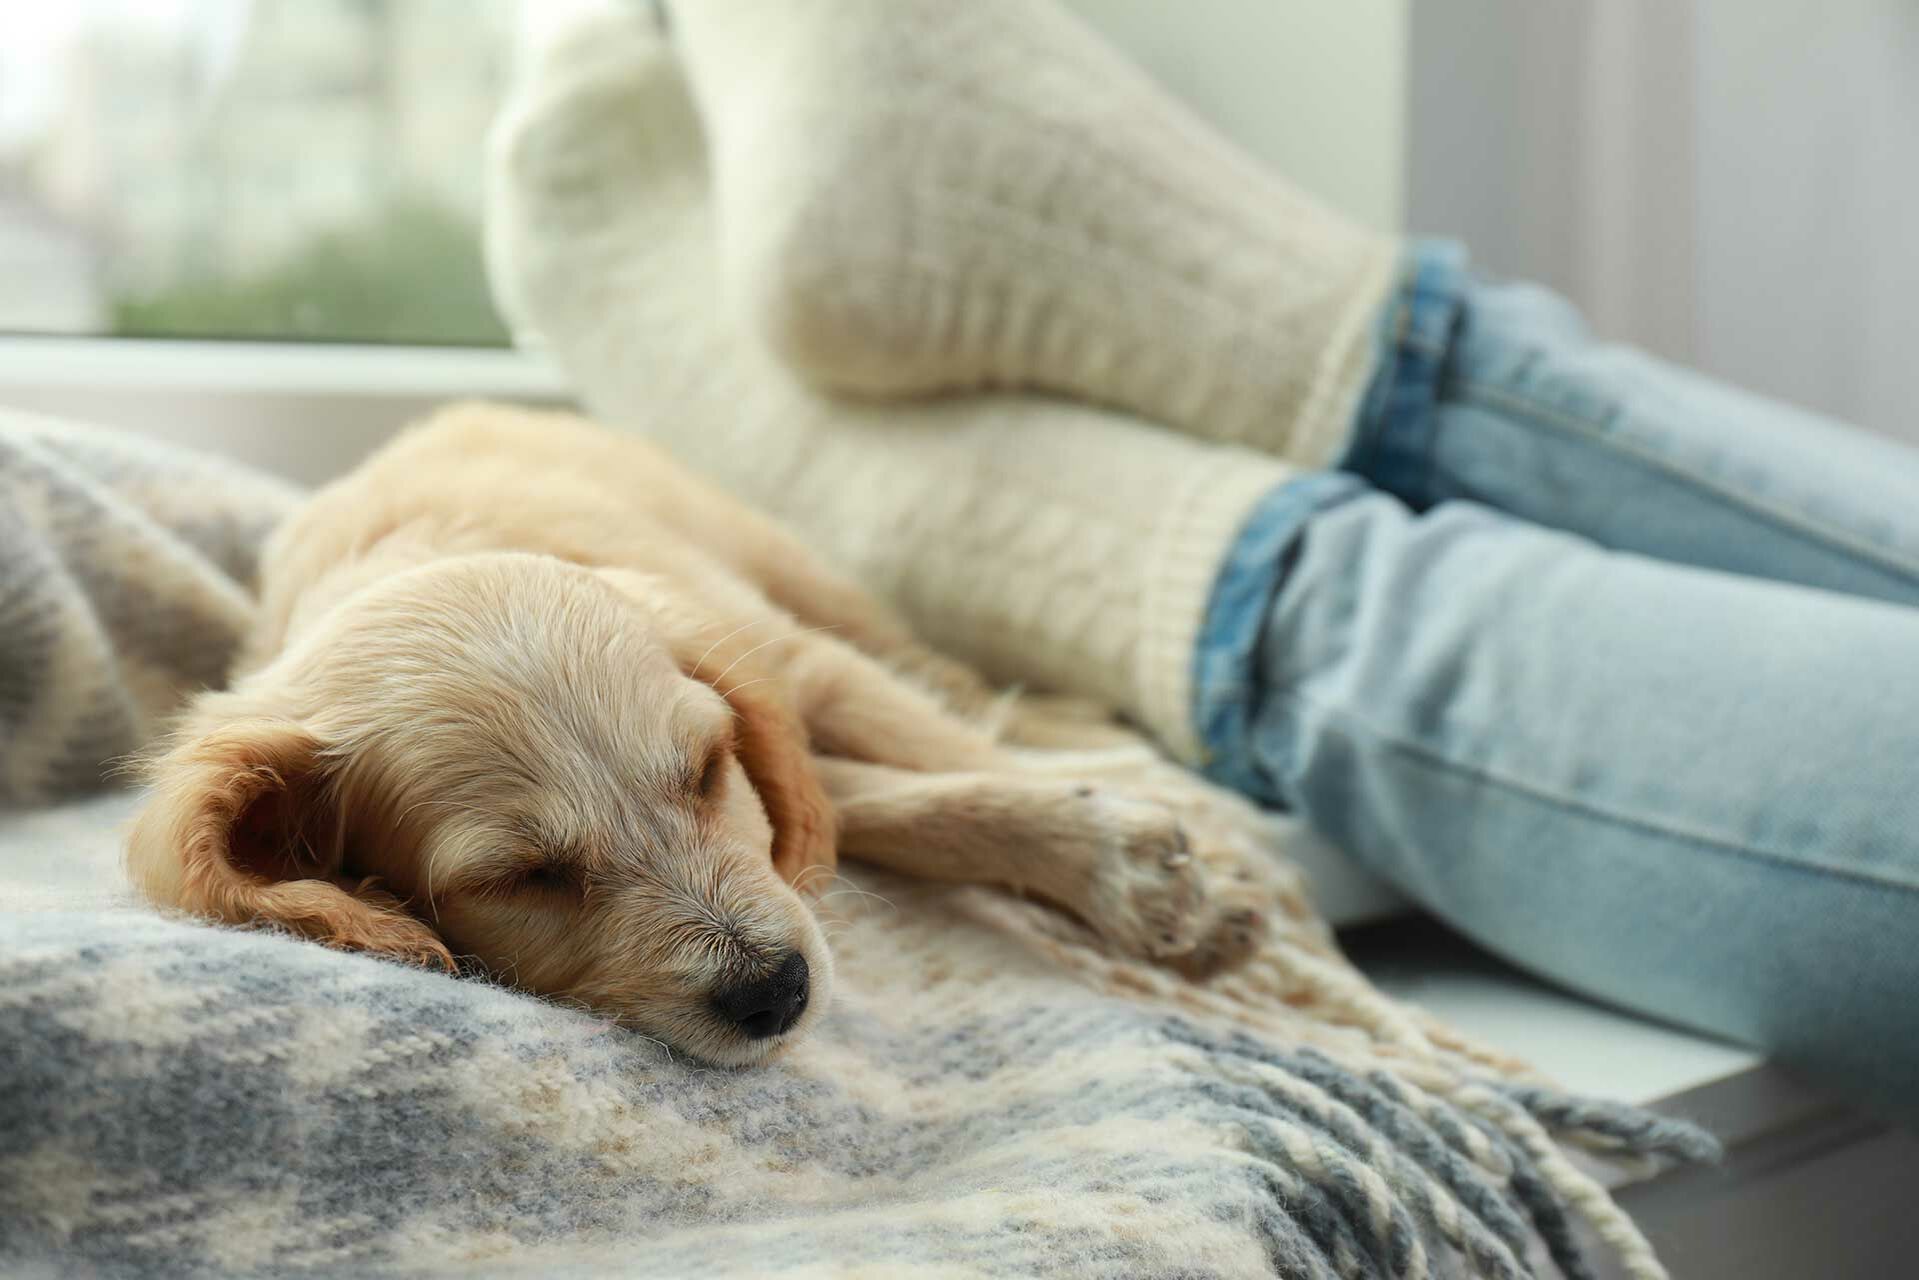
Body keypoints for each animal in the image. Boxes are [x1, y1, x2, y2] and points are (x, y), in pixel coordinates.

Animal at [127, 404, 1281, 1066]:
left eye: (703, 770)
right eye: (519, 878)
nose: (778, 992)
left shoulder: (787, 665)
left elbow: (940, 758)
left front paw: (1155, 868)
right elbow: (863, 804)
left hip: (805, 580)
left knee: (948, 684)